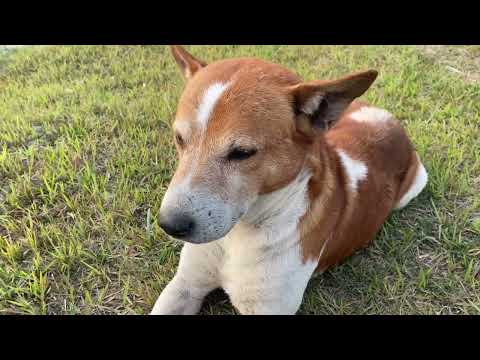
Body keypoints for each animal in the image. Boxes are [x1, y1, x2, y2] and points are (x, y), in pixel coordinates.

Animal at [150, 45, 428, 316]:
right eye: (179, 139)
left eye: (242, 152)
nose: (169, 224)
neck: (238, 236)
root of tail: (389, 119)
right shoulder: (185, 285)